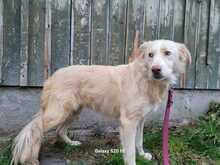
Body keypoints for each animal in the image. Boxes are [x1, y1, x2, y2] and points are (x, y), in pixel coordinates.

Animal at [11, 37, 191, 165]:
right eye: (150, 55)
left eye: (167, 53)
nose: (155, 70)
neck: (145, 78)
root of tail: (53, 76)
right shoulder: (128, 122)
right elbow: (129, 151)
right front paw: (134, 160)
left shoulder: (140, 119)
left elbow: (139, 141)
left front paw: (142, 155)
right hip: (58, 113)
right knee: (35, 129)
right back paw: (30, 158)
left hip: (73, 111)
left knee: (60, 130)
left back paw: (71, 144)